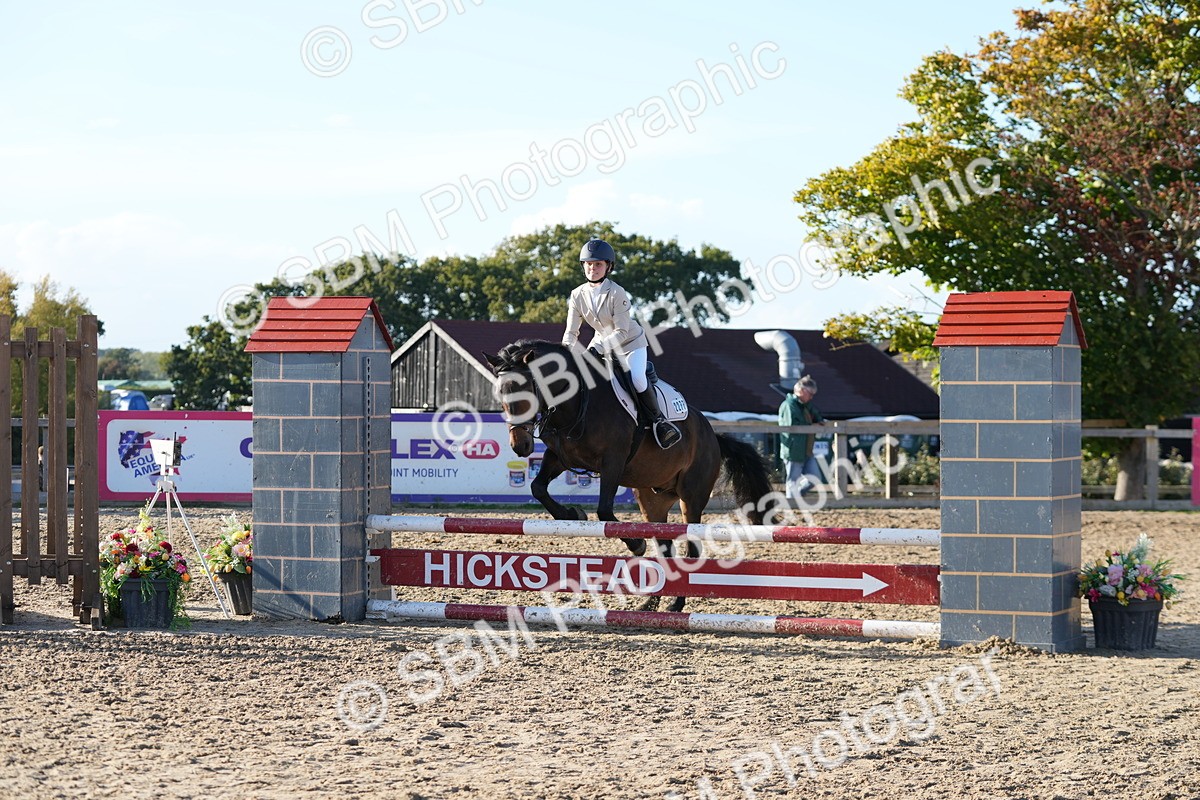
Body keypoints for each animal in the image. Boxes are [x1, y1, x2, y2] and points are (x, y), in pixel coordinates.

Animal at [483, 338, 774, 612]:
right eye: (500, 394)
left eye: (527, 392)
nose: (520, 446)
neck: (575, 403)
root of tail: (713, 435)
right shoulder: (557, 457)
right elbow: (538, 488)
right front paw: (572, 514)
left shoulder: (613, 462)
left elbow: (604, 511)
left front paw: (636, 545)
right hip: (652, 501)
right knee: (665, 546)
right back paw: (653, 603)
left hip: (691, 497)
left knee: (691, 544)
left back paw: (676, 603)